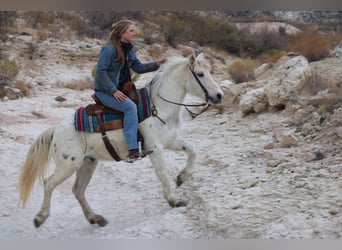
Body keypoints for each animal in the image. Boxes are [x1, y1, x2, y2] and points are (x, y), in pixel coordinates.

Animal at [18, 49, 224, 228]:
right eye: (200, 74)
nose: (219, 95)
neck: (158, 107)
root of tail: (57, 130)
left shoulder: (171, 142)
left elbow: (192, 151)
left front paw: (182, 177)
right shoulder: (155, 149)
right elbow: (163, 175)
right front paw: (174, 200)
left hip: (88, 163)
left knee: (78, 190)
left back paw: (95, 218)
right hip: (69, 165)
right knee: (49, 184)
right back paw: (40, 217)